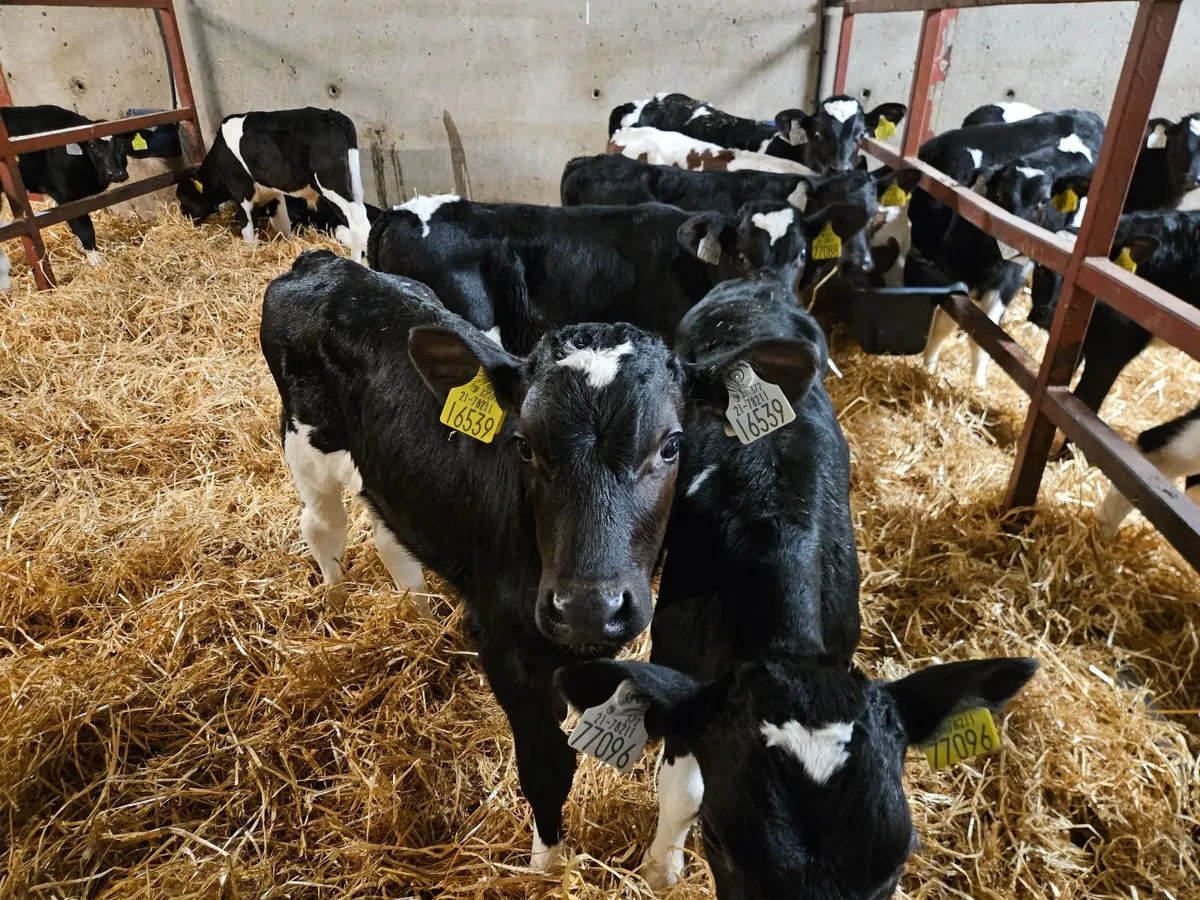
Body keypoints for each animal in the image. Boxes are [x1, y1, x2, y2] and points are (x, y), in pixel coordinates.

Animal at [1, 104, 131, 285]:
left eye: (124, 144)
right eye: (93, 146)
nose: (117, 174)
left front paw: (82, 250)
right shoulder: (67, 197)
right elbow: (85, 229)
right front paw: (97, 263)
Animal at [176, 107, 371, 263]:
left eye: (183, 197)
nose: (184, 216)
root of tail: (331, 115)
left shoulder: (242, 194)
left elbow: (248, 231)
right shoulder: (273, 194)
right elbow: (282, 224)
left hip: (332, 187)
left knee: (359, 226)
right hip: (353, 185)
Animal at [261, 248, 817, 870]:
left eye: (672, 444)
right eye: (524, 445)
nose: (588, 607)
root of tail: (322, 264)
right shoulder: (504, 642)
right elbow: (547, 767)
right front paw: (547, 869)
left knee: (387, 537)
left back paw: (418, 615)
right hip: (306, 444)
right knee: (323, 527)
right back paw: (336, 606)